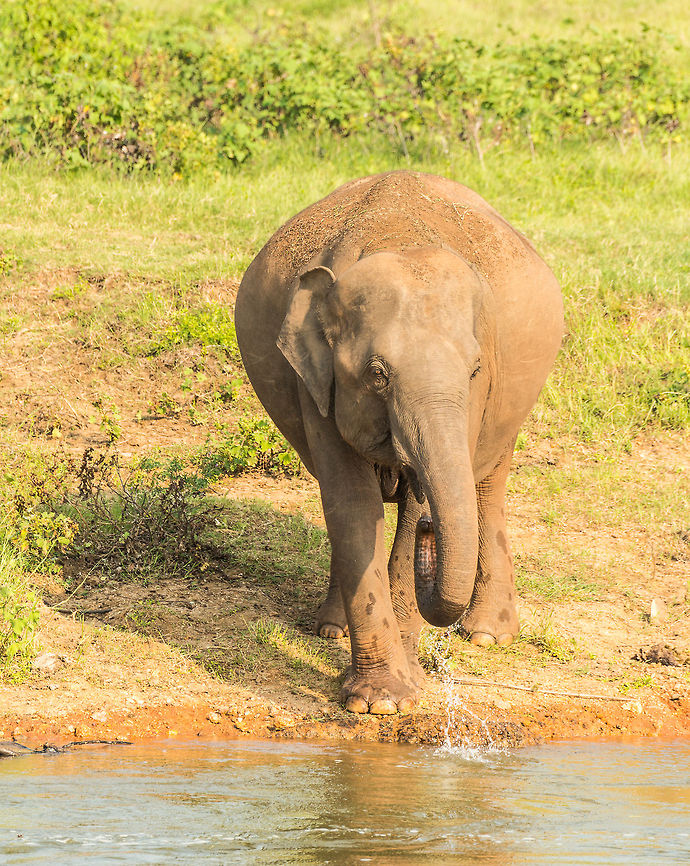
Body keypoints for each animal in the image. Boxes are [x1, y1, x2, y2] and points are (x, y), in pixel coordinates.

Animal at [234, 171, 564, 715]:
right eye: (377, 374)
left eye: (474, 369)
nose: (435, 529)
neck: (397, 238)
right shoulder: (316, 382)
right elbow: (352, 503)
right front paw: (381, 701)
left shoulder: (478, 391)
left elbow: (410, 508)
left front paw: (406, 675)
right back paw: (331, 630)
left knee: (489, 482)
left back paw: (485, 636)